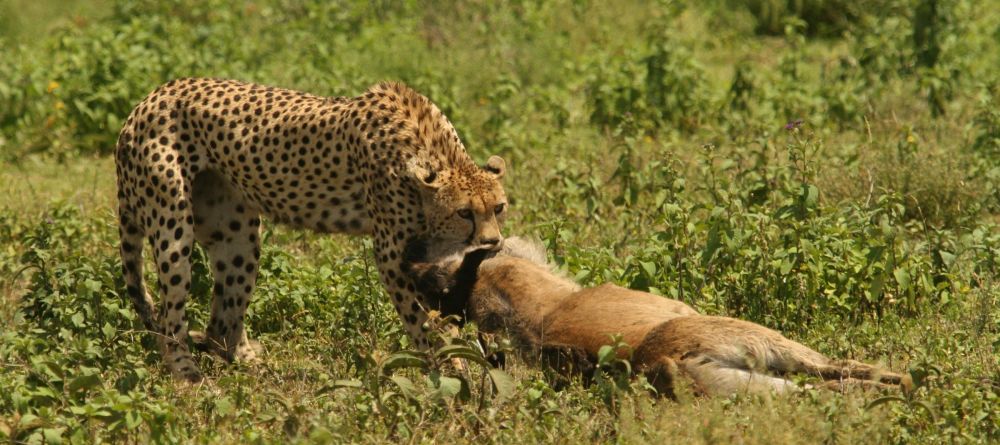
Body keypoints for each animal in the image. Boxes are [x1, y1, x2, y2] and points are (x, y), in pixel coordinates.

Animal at [116, 77, 508, 382]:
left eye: (499, 208)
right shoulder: (393, 259)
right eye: (464, 213)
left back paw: (260, 370)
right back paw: (189, 376)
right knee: (169, 318)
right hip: (172, 227)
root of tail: (150, 97)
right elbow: (423, 324)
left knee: (221, 327)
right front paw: (449, 378)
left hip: (237, 236)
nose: (492, 243)